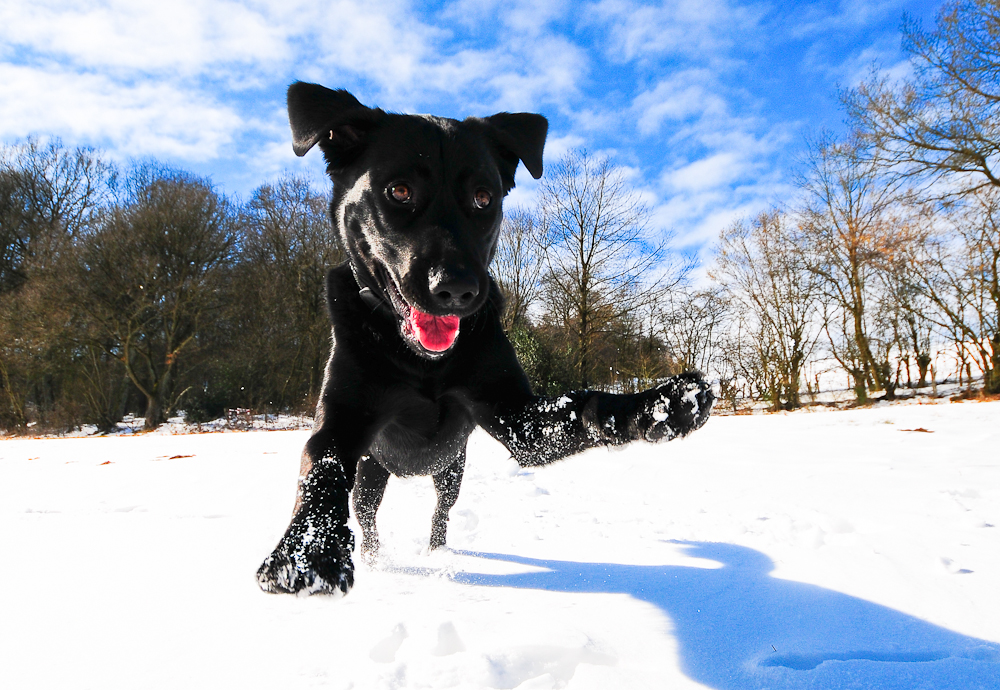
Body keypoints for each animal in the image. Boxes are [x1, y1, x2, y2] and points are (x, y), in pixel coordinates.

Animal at [256, 83, 712, 592]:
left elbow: (586, 404)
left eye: (482, 198)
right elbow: (323, 462)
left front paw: (663, 405)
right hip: (373, 473)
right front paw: (307, 553)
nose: (457, 288)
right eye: (399, 191)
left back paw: (437, 553)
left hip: (451, 469)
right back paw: (375, 559)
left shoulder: (517, 417)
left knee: (440, 513)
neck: (423, 363)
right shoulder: (344, 417)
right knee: (368, 517)